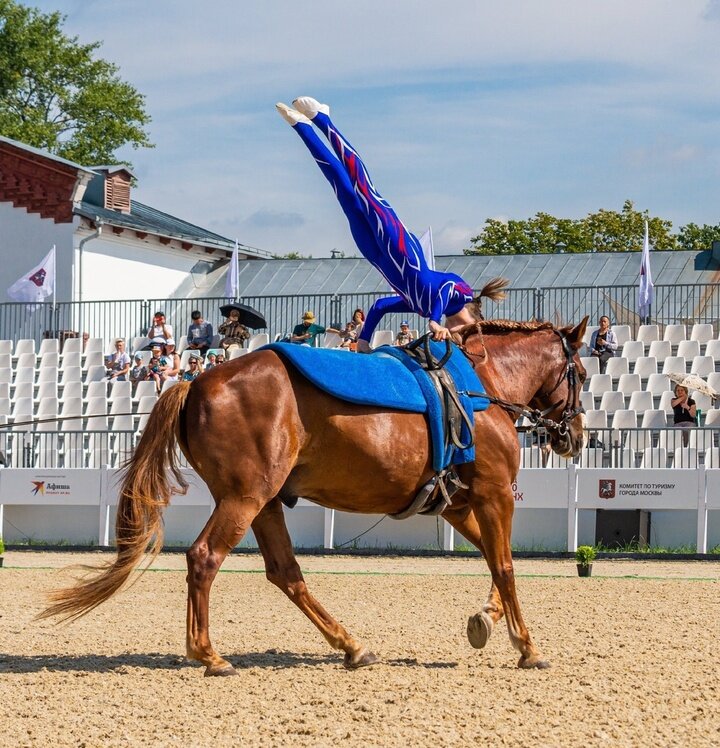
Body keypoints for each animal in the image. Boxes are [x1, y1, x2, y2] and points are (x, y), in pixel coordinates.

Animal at [42, 312, 588, 676]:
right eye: (581, 375)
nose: (576, 435)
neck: (481, 387)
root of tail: (196, 381)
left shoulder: (456, 505)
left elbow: (496, 559)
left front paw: (487, 619)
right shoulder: (493, 494)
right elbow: (506, 565)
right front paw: (526, 645)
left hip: (263, 503)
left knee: (286, 573)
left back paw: (351, 646)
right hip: (243, 499)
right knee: (204, 558)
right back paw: (210, 654)